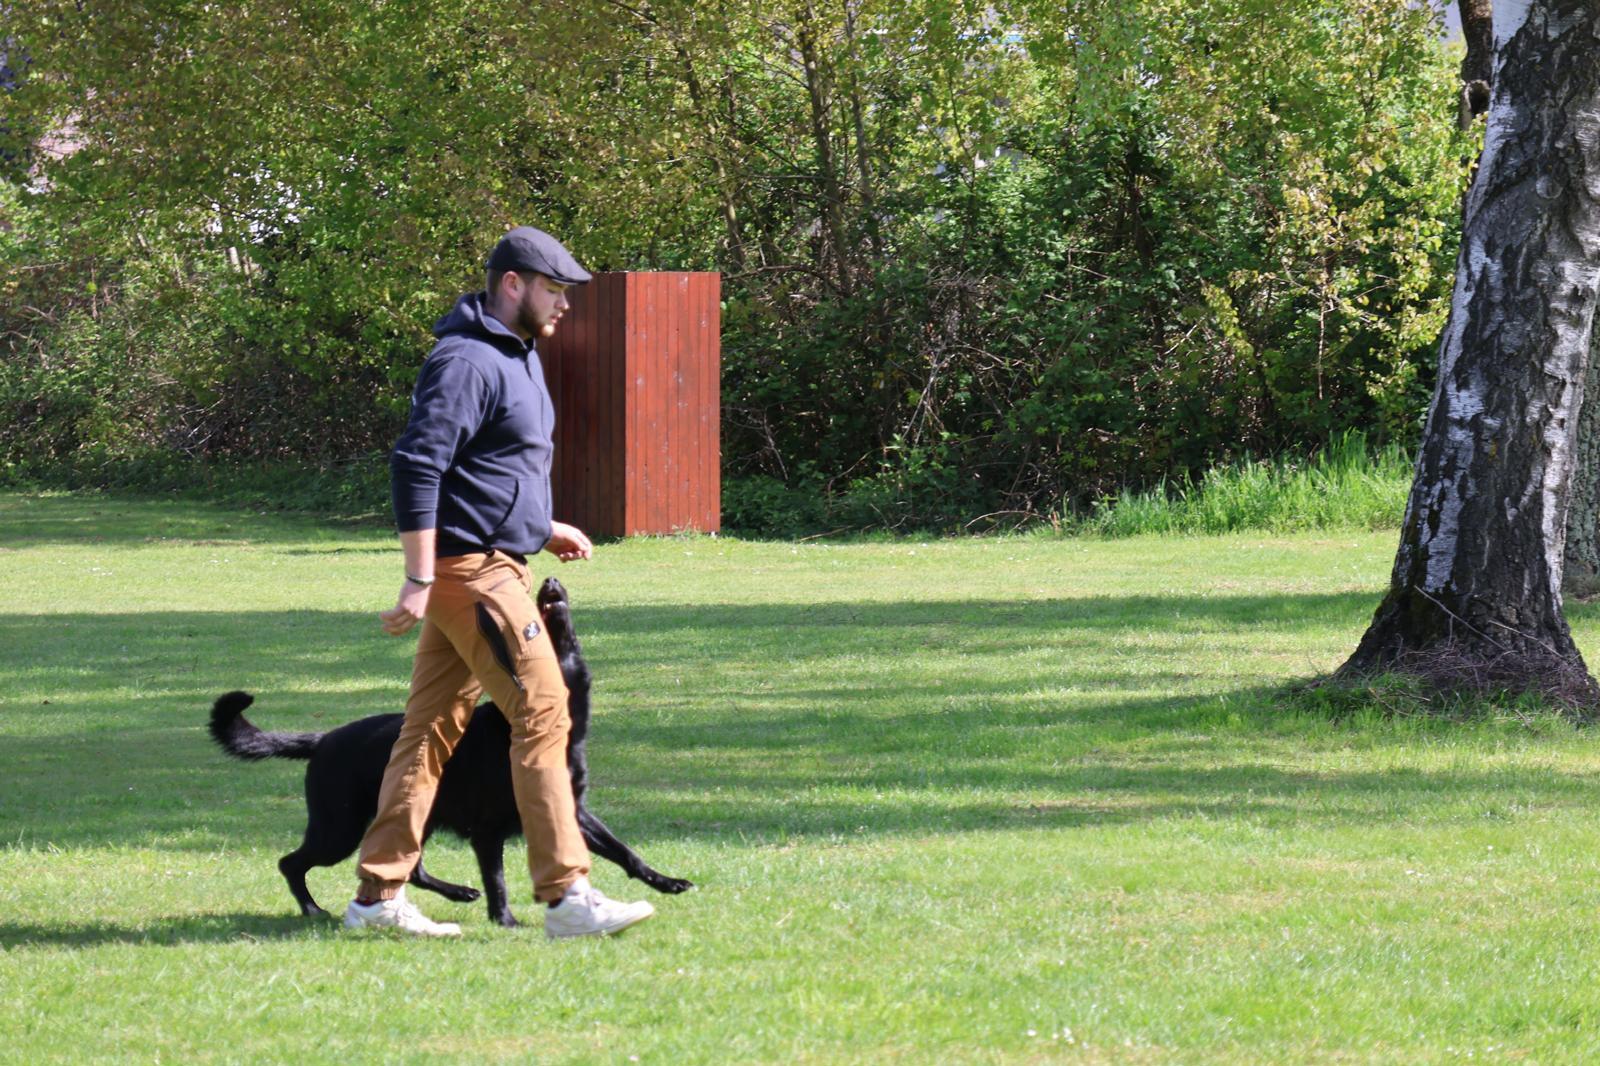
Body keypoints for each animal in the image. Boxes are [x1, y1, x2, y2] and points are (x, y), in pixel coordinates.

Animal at [209, 576, 691, 927]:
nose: (551, 579)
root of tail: (323, 739)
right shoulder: (488, 831)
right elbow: (498, 879)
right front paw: (505, 920)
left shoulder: (571, 810)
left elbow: (625, 851)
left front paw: (665, 882)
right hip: (339, 829)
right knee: (292, 863)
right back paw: (312, 909)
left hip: (409, 819)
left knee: (411, 869)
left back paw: (456, 893)